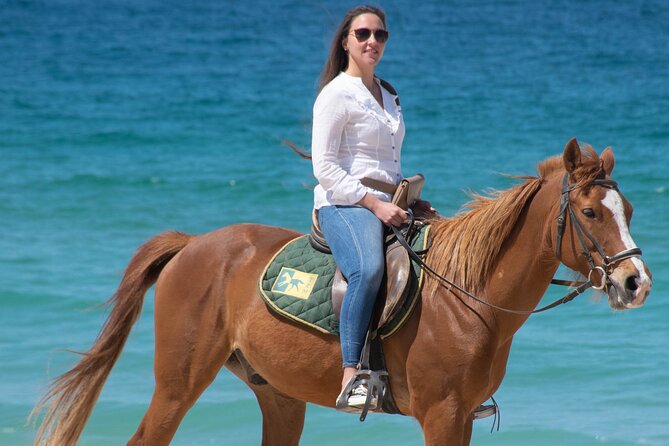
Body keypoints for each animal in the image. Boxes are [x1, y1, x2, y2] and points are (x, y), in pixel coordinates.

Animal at [32, 140, 652, 446]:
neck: (467, 298)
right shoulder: (442, 416)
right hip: (178, 385)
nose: (636, 282)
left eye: (628, 209)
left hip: (279, 395)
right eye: (591, 213)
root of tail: (193, 245)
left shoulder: (462, 418)